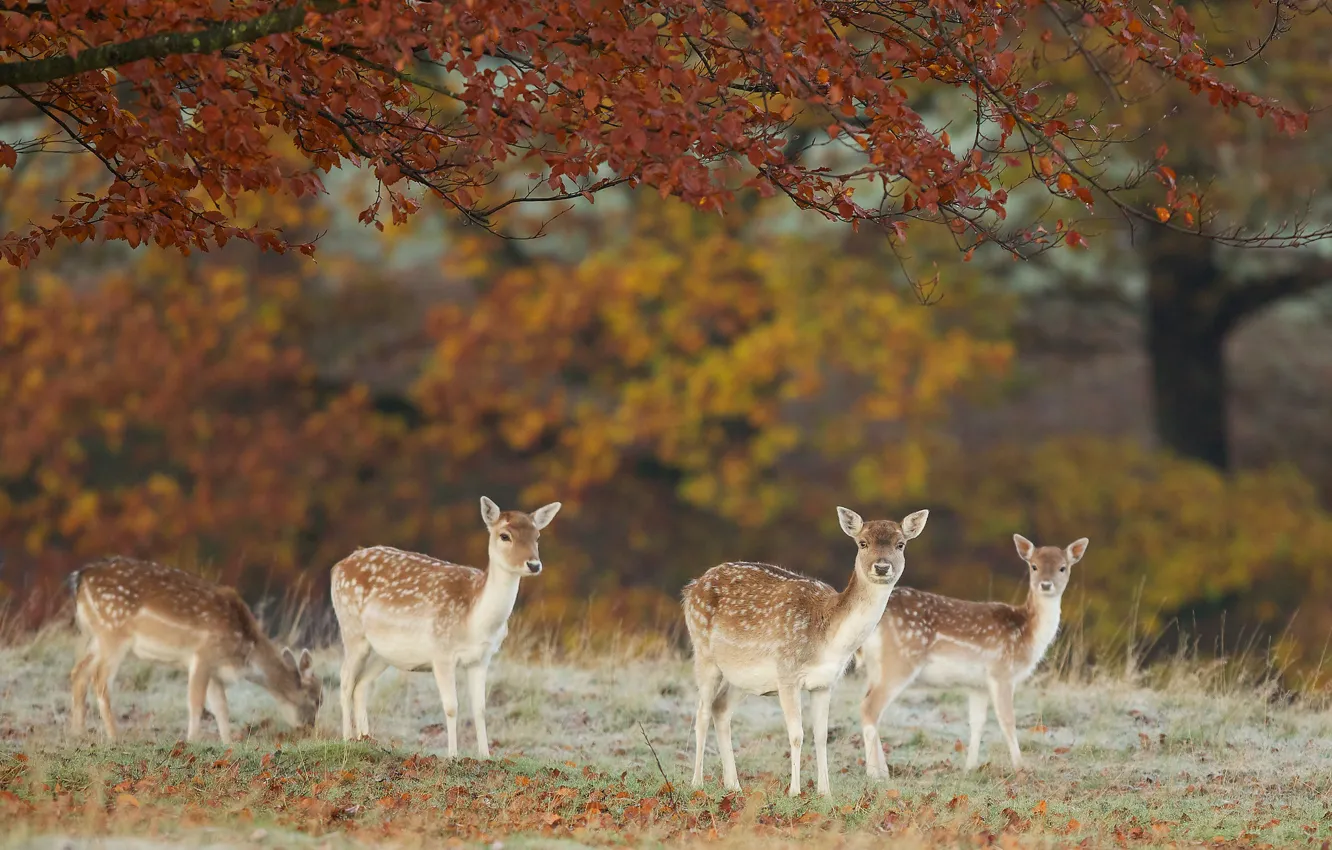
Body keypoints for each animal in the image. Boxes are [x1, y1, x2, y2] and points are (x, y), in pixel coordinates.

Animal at [68, 557, 323, 743]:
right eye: (317, 700)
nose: (309, 728)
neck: (245, 649)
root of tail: (80, 578)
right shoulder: (203, 655)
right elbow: (196, 702)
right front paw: (192, 741)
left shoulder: (215, 670)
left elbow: (221, 707)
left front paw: (228, 743)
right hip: (113, 633)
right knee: (100, 680)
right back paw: (115, 737)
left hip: (95, 637)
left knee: (78, 672)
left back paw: (79, 733)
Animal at [330, 496, 561, 755]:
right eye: (504, 535)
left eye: (537, 536)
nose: (534, 565)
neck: (475, 621)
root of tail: (337, 567)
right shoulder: (441, 653)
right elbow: (451, 706)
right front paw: (453, 755)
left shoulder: (482, 658)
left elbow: (480, 708)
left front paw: (486, 756)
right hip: (351, 631)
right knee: (345, 680)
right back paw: (347, 739)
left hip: (383, 652)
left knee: (361, 685)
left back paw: (366, 740)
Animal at [682, 506, 929, 797]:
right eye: (862, 543)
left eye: (900, 544)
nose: (881, 566)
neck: (828, 639)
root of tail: (691, 587)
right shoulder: (787, 673)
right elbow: (797, 734)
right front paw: (794, 791)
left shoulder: (825, 683)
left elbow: (820, 736)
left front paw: (825, 792)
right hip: (703, 652)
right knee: (701, 713)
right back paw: (697, 782)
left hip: (742, 677)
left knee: (720, 709)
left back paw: (734, 784)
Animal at [857, 534, 1090, 776]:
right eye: (1034, 566)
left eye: (1063, 567)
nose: (1046, 584)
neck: (1027, 633)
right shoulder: (1001, 671)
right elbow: (1007, 720)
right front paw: (1020, 767)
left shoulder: (977, 685)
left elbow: (977, 723)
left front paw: (970, 767)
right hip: (900, 660)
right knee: (869, 708)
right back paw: (875, 775)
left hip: (876, 668)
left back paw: (883, 770)